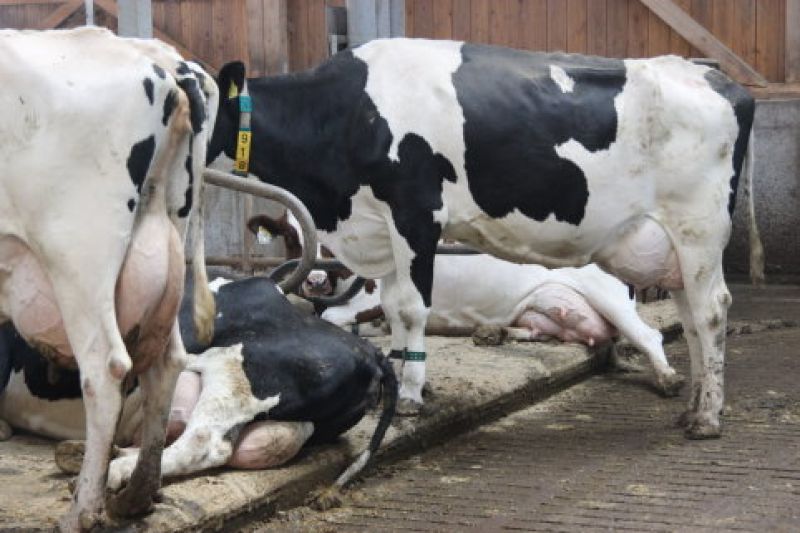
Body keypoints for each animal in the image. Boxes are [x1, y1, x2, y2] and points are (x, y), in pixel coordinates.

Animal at [0, 28, 219, 528]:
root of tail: (168, 65)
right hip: (166, 250)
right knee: (166, 362)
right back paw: (137, 494)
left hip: (78, 257)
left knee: (105, 369)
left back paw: (81, 512)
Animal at [245, 212, 680, 394]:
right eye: (291, 237)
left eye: (333, 237)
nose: (316, 280)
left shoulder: (366, 303)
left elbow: (341, 318)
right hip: (543, 307)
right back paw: (491, 332)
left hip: (608, 296)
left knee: (647, 335)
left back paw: (668, 379)